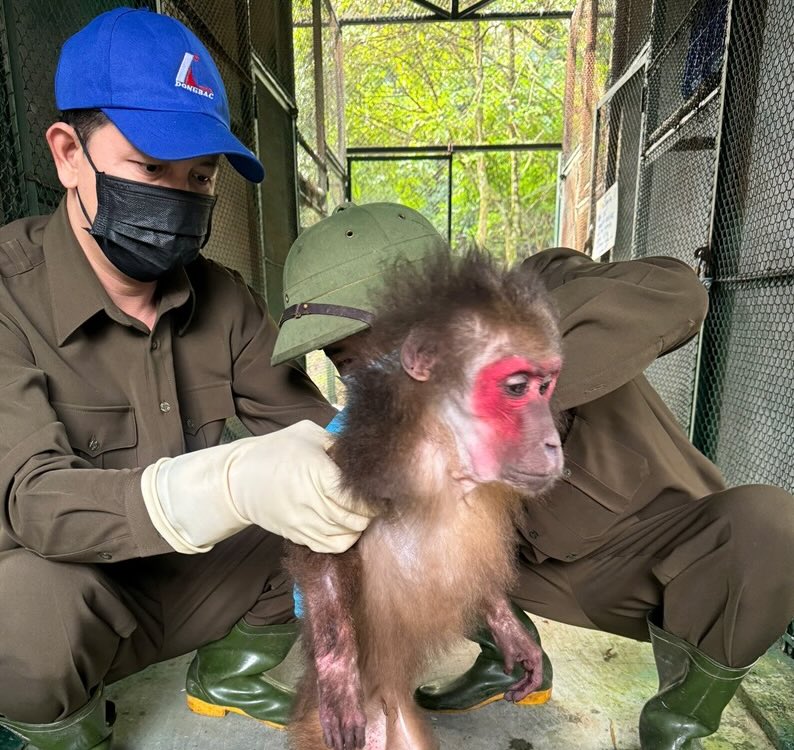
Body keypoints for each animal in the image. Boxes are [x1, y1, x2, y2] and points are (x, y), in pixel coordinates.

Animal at [286, 249, 563, 750]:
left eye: (546, 385)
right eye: (516, 388)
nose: (553, 442)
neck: (448, 453)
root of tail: (389, 697)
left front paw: (511, 633)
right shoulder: (373, 449)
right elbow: (318, 544)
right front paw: (337, 678)